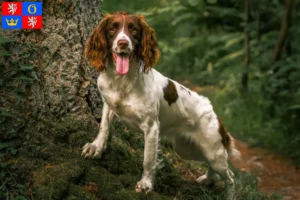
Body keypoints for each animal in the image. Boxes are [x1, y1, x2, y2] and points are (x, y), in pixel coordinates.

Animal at [81, 11, 239, 199]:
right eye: (113, 28)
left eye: (133, 29)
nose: (122, 43)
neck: (123, 80)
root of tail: (214, 113)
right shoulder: (108, 104)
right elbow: (103, 127)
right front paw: (95, 148)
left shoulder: (151, 127)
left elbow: (148, 160)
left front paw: (145, 185)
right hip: (188, 149)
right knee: (213, 169)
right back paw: (207, 179)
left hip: (213, 150)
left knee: (230, 177)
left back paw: (228, 194)